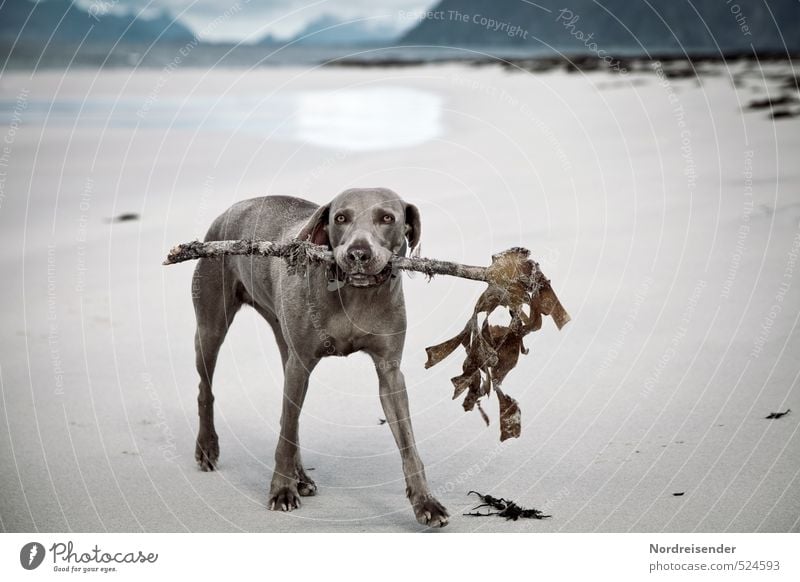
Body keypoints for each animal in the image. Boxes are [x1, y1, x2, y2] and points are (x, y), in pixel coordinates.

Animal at [190, 188, 446, 528]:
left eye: (387, 218)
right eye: (341, 218)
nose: (358, 254)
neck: (355, 294)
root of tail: (231, 209)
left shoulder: (390, 372)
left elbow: (407, 443)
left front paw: (425, 502)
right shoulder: (300, 364)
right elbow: (286, 435)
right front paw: (281, 491)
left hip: (282, 338)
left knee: (289, 416)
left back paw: (300, 476)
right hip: (212, 326)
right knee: (207, 388)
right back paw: (208, 448)